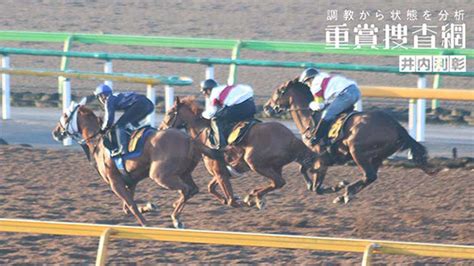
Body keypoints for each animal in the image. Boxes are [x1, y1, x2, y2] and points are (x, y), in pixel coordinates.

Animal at [51, 100, 221, 229]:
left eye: (65, 115)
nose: (55, 132)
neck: (98, 142)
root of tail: (189, 139)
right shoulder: (130, 181)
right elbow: (127, 207)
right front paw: (150, 206)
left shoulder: (115, 182)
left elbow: (130, 205)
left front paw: (145, 223)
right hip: (183, 173)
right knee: (193, 189)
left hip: (159, 175)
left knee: (186, 190)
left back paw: (176, 219)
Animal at [159, 96, 318, 210]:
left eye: (169, 113)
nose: (161, 129)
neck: (204, 133)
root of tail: (291, 138)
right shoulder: (222, 171)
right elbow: (211, 188)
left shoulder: (220, 173)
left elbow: (230, 201)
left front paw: (238, 200)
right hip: (275, 166)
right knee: (277, 182)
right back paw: (254, 195)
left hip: (254, 162)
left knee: (278, 182)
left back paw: (254, 197)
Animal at [264, 78, 438, 204]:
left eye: (279, 91)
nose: (266, 107)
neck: (310, 119)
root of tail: (396, 126)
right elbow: (305, 174)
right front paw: (333, 187)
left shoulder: (321, 159)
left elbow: (316, 186)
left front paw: (338, 186)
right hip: (377, 156)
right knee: (370, 177)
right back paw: (345, 194)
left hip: (358, 151)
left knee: (369, 176)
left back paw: (347, 193)